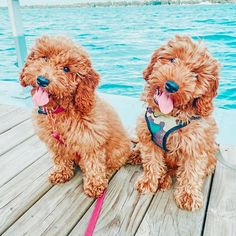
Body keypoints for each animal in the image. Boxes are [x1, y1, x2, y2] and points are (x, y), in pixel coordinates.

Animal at [20, 35, 133, 197]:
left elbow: (93, 163)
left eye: (66, 69)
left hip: (117, 151)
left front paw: (94, 185)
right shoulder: (54, 142)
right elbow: (60, 158)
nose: (42, 80)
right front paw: (61, 173)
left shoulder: (90, 139)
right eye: (44, 58)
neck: (59, 110)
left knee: (112, 164)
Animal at [135, 34, 219, 210]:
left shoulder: (195, 144)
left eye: (195, 74)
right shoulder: (147, 135)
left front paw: (188, 195)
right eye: (172, 59)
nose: (171, 86)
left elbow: (191, 170)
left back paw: (164, 179)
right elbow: (151, 160)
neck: (168, 115)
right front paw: (148, 180)